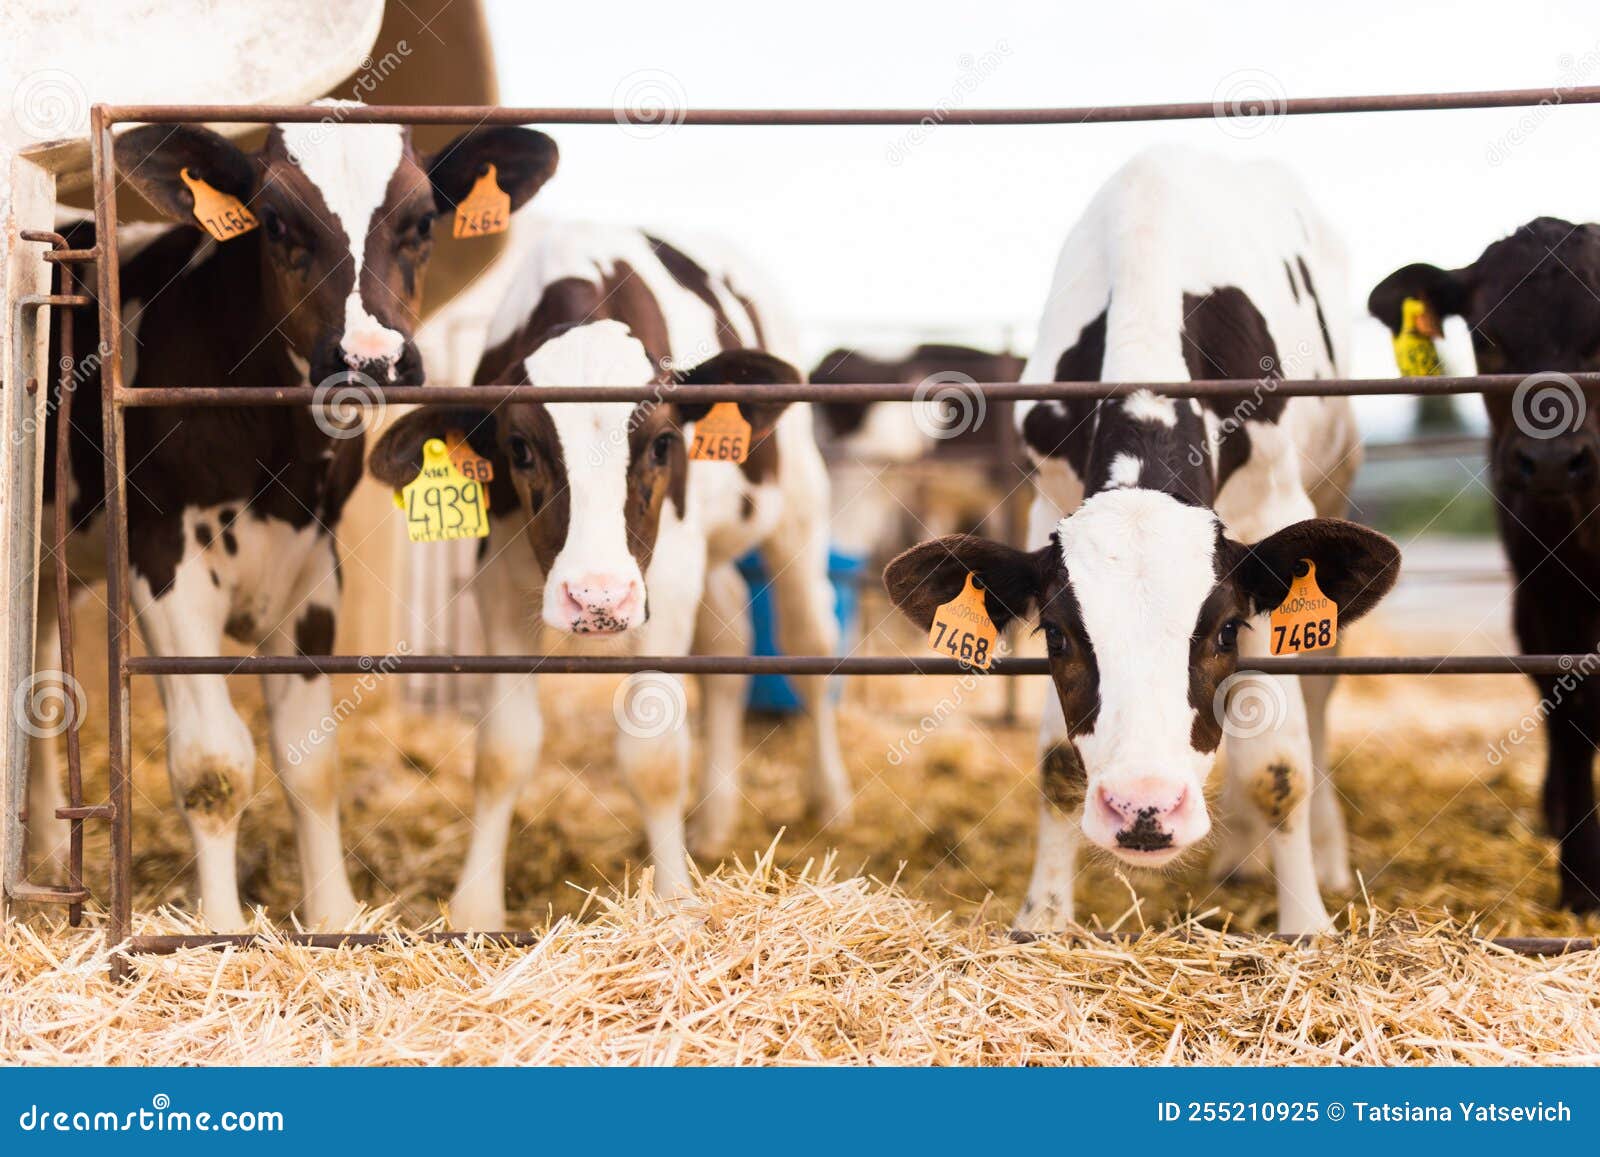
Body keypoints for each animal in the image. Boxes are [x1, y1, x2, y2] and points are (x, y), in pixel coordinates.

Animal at [26, 103, 557, 931]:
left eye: (422, 220)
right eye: (275, 221)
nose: (370, 358)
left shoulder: (314, 568)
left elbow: (312, 763)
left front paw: (334, 918)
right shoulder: (165, 558)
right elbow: (213, 763)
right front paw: (216, 927)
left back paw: (49, 855)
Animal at [368, 221, 849, 930]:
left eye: (663, 444)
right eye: (520, 449)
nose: (598, 596)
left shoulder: (664, 586)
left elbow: (654, 760)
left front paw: (674, 902)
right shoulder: (500, 579)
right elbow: (503, 751)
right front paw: (476, 908)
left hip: (800, 512)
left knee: (810, 646)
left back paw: (830, 799)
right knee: (728, 647)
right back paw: (714, 822)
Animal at [882, 147, 1400, 934]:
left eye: (1224, 630)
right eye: (1057, 636)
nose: (1144, 808)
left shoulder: (1275, 509)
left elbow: (1278, 768)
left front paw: (1306, 924)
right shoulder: (1046, 504)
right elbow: (1057, 764)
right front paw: (1044, 917)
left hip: (1334, 486)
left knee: (1313, 696)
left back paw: (1321, 856)